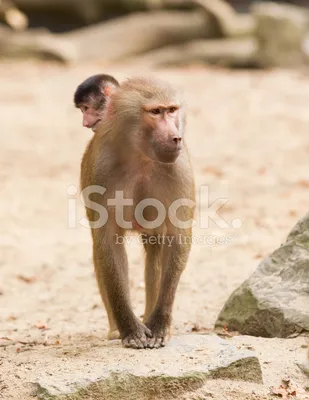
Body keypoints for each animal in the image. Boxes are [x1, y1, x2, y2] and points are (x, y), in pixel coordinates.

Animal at [79, 76, 195, 348]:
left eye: (171, 110)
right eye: (155, 112)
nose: (175, 138)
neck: (141, 155)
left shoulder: (180, 169)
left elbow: (177, 238)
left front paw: (159, 326)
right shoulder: (101, 169)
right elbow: (109, 243)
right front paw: (131, 331)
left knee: (155, 252)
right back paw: (116, 329)